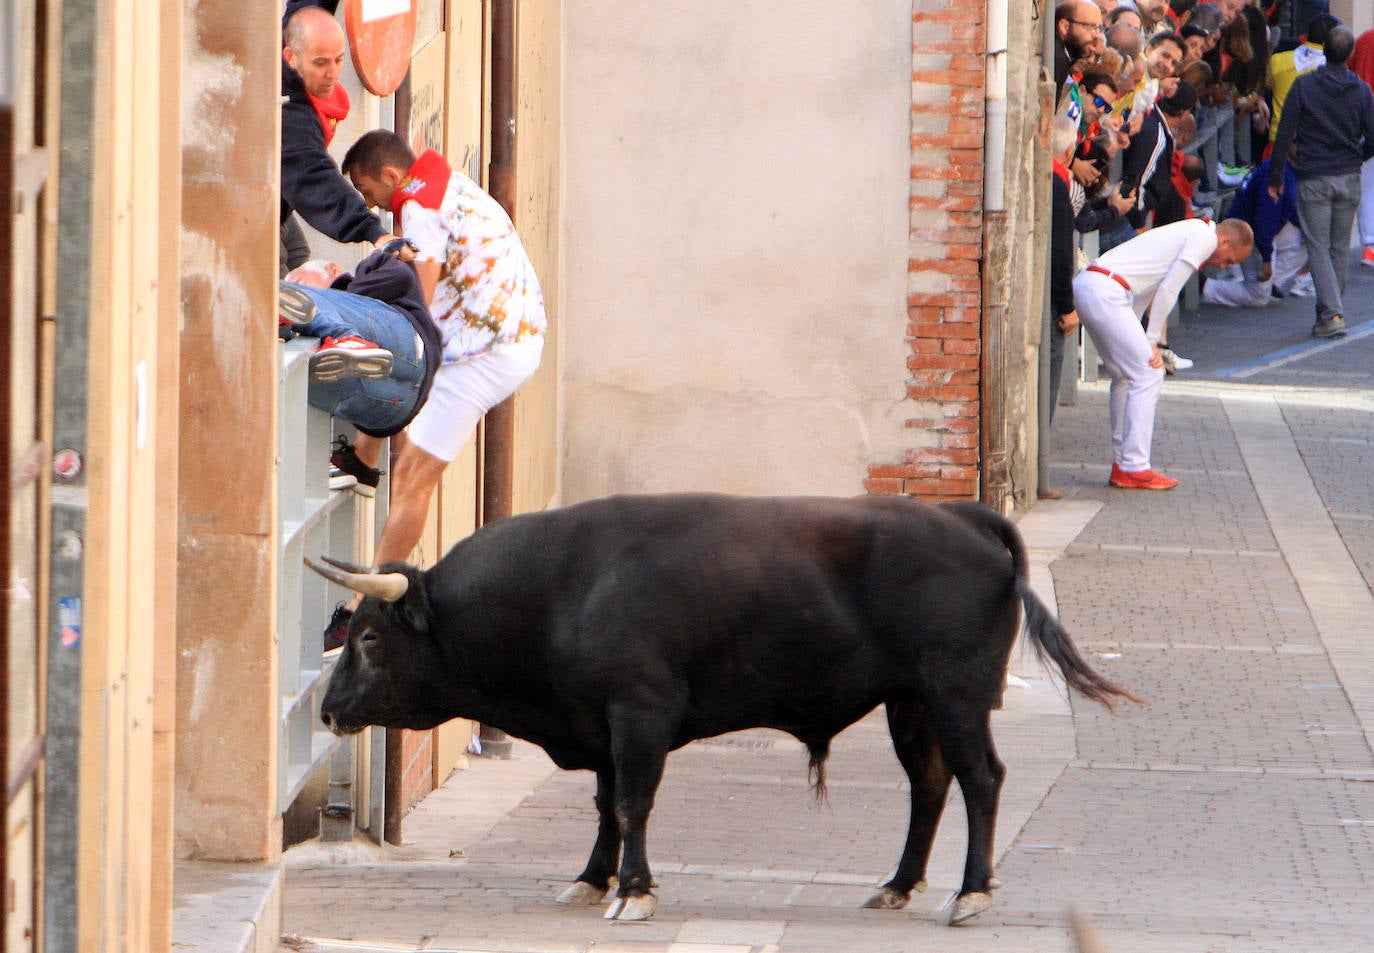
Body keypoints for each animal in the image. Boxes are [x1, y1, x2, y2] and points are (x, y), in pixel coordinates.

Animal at [314, 491, 1137, 928]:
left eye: (371, 638)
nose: (326, 711)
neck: (564, 588)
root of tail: (965, 517)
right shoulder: (600, 723)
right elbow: (605, 805)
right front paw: (592, 878)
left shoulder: (638, 714)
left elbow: (632, 804)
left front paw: (634, 891)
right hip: (910, 702)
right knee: (930, 785)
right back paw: (898, 884)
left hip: (956, 693)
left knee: (982, 778)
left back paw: (970, 893)